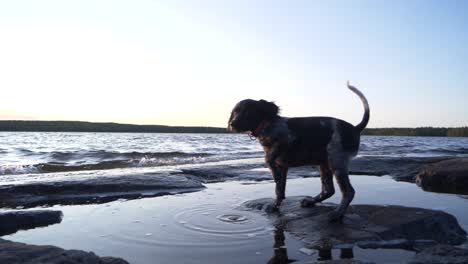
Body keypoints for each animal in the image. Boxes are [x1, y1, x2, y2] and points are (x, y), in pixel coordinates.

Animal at [229, 82, 372, 221]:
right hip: (324, 164)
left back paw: (337, 213)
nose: (232, 124)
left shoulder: (287, 140)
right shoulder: (283, 166)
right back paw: (311, 201)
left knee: (348, 192)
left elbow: (268, 159)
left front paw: (274, 173)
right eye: (234, 112)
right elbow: (279, 190)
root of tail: (355, 128)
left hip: (336, 161)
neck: (266, 126)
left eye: (247, 111)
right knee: (329, 190)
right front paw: (275, 206)